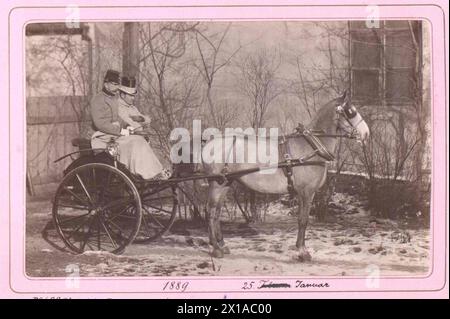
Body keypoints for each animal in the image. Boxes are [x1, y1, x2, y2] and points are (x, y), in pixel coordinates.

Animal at [201, 92, 370, 260]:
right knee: (210, 211)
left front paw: (300, 248)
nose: (366, 133)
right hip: (216, 184)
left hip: (225, 182)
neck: (311, 147)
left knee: (217, 212)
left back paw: (221, 244)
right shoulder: (306, 192)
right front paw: (302, 251)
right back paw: (215, 248)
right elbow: (303, 220)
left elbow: (303, 219)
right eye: (351, 112)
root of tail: (209, 143)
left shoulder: (308, 193)